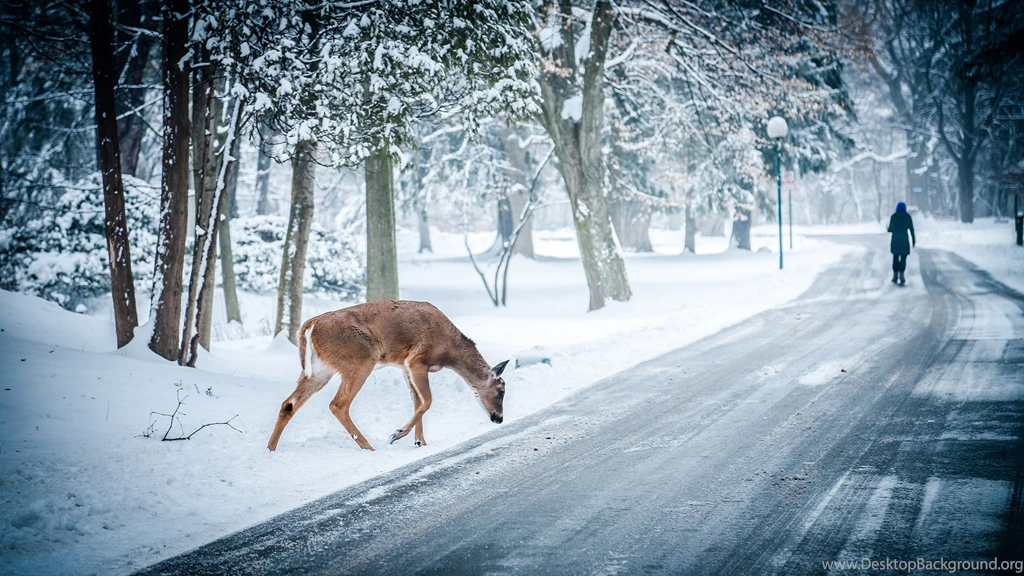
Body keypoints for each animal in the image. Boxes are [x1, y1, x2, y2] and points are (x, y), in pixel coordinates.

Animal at [267, 300, 509, 452]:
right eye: (501, 390)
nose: (499, 418)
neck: (450, 351)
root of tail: (309, 326)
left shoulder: (404, 366)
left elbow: (417, 401)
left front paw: (420, 442)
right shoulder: (416, 359)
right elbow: (428, 401)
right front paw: (397, 434)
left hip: (320, 370)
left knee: (289, 404)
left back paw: (270, 449)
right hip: (361, 358)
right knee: (338, 404)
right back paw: (369, 447)